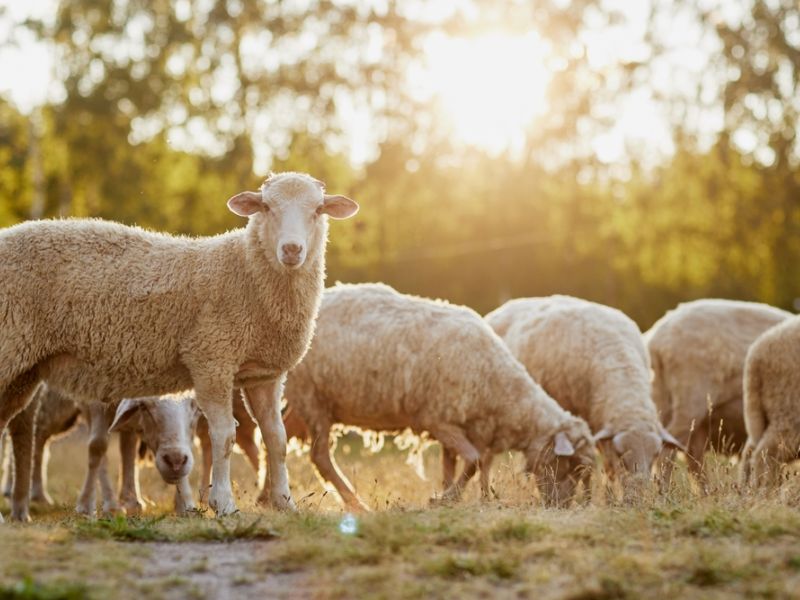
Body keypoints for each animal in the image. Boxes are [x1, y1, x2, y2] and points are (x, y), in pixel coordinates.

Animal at [0, 171, 358, 521]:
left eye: (318, 210)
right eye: (266, 207)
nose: (292, 250)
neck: (245, 272)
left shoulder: (264, 375)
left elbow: (276, 438)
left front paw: (285, 503)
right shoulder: (211, 359)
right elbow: (224, 436)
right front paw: (224, 504)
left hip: (23, 371)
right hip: (10, 347)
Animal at [283, 283, 597, 511]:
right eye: (571, 466)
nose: (561, 506)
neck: (500, 388)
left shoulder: (453, 421)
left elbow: (452, 465)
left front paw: (447, 495)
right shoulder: (437, 418)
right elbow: (474, 461)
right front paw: (446, 497)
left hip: (303, 403)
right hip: (313, 397)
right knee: (320, 457)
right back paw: (355, 503)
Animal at [644, 299, 791, 486]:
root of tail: (657, 341)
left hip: (664, 401)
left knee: (691, 459)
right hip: (690, 401)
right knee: (668, 451)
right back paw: (664, 489)